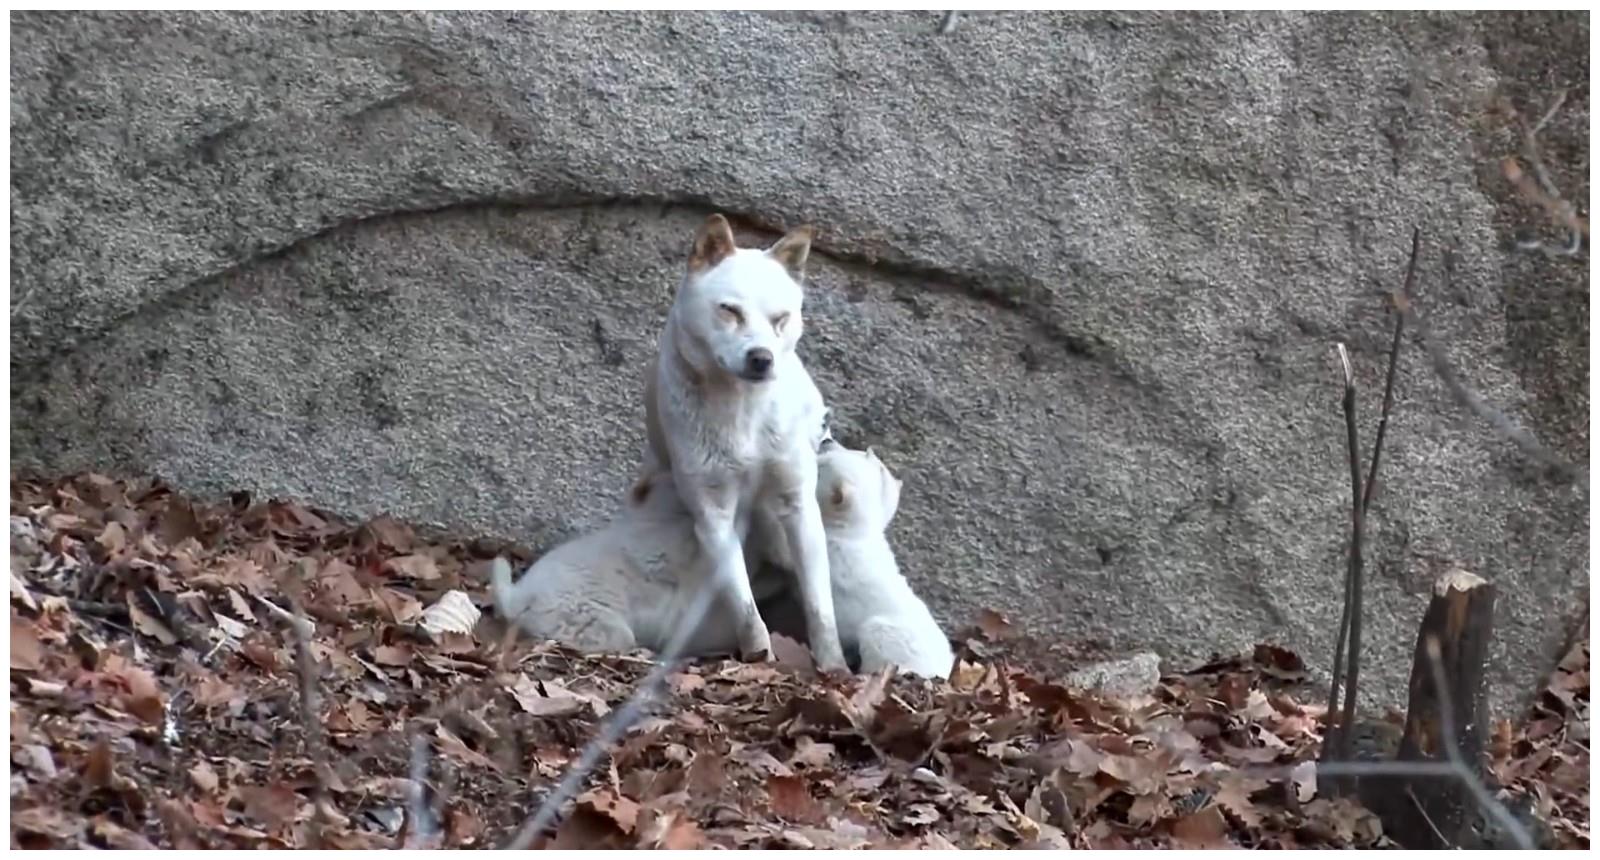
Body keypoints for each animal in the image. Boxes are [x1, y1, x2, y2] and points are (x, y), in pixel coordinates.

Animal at [640, 214, 851, 668]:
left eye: (781, 318)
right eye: (730, 311)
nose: (761, 359)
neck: (743, 414)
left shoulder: (797, 505)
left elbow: (819, 605)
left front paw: (833, 666)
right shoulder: (714, 516)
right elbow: (744, 605)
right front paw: (760, 659)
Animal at [748, 441, 947, 674]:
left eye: (819, 467)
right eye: (854, 451)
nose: (827, 441)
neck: (853, 530)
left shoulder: (827, 547)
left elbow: (781, 550)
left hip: (889, 635)